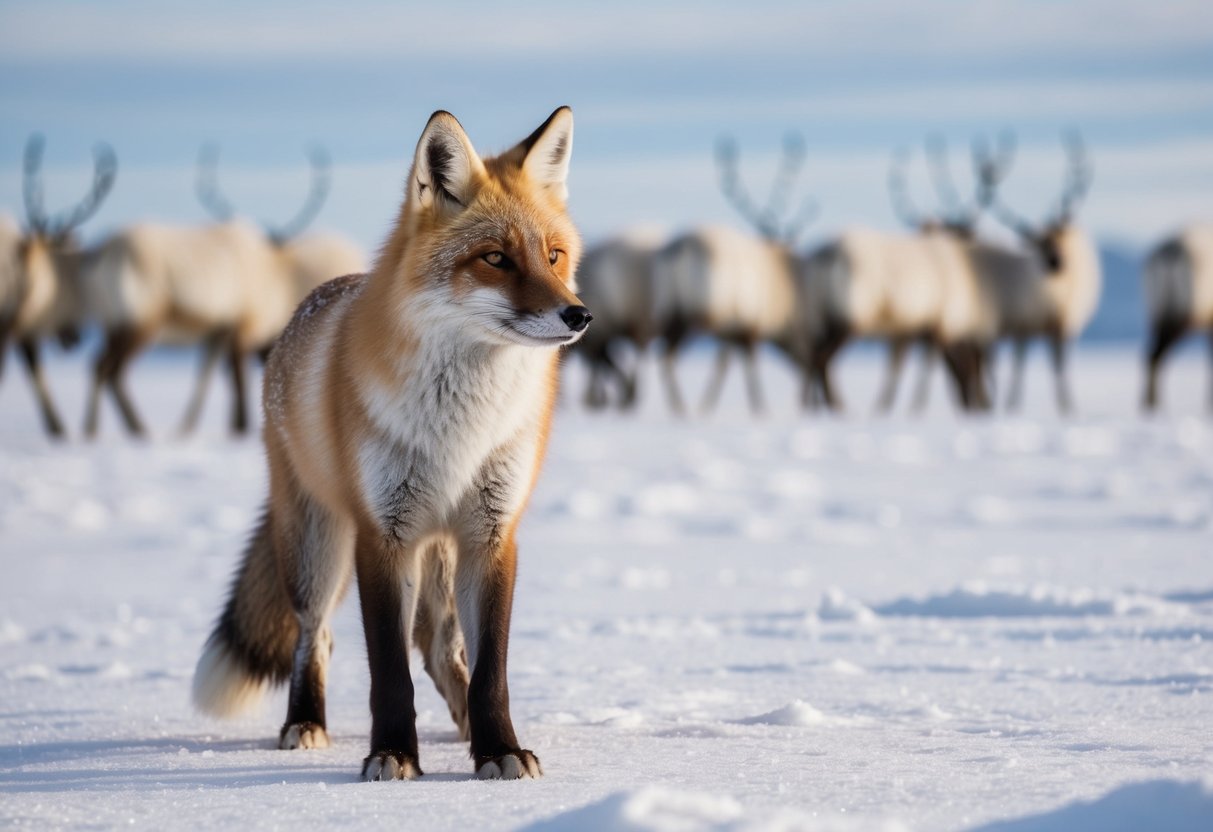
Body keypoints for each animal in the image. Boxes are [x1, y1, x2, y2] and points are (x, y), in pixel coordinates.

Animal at [191, 107, 590, 782]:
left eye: (554, 255)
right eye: (495, 258)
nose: (579, 315)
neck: (461, 428)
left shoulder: (492, 532)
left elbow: (490, 671)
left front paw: (499, 750)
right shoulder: (383, 534)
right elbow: (388, 672)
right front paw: (393, 755)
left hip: (440, 552)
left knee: (438, 647)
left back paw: (464, 728)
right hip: (320, 545)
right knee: (318, 635)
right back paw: (305, 722)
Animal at [651, 133, 815, 416]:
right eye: (801, 336)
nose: (807, 397)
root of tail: (677, 250)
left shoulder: (730, 330)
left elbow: (722, 366)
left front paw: (708, 406)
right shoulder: (750, 327)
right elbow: (750, 368)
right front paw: (760, 408)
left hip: (672, 313)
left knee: (664, 354)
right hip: (694, 316)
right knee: (667, 355)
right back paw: (681, 408)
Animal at [1141, 224, 1213, 411]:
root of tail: (1170, 253)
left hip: (1157, 314)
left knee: (1150, 354)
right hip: (1180, 316)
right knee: (1156, 356)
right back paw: (1154, 405)